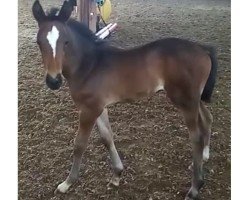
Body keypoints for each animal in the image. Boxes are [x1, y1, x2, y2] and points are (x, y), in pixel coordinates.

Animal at [32, 0, 217, 199]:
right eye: (38, 42)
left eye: (65, 42)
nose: (53, 81)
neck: (89, 65)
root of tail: (203, 49)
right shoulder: (99, 107)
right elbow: (107, 137)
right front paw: (117, 175)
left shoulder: (89, 109)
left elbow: (79, 144)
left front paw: (67, 183)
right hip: (193, 99)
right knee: (207, 118)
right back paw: (203, 158)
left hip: (185, 100)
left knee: (196, 137)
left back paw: (195, 187)